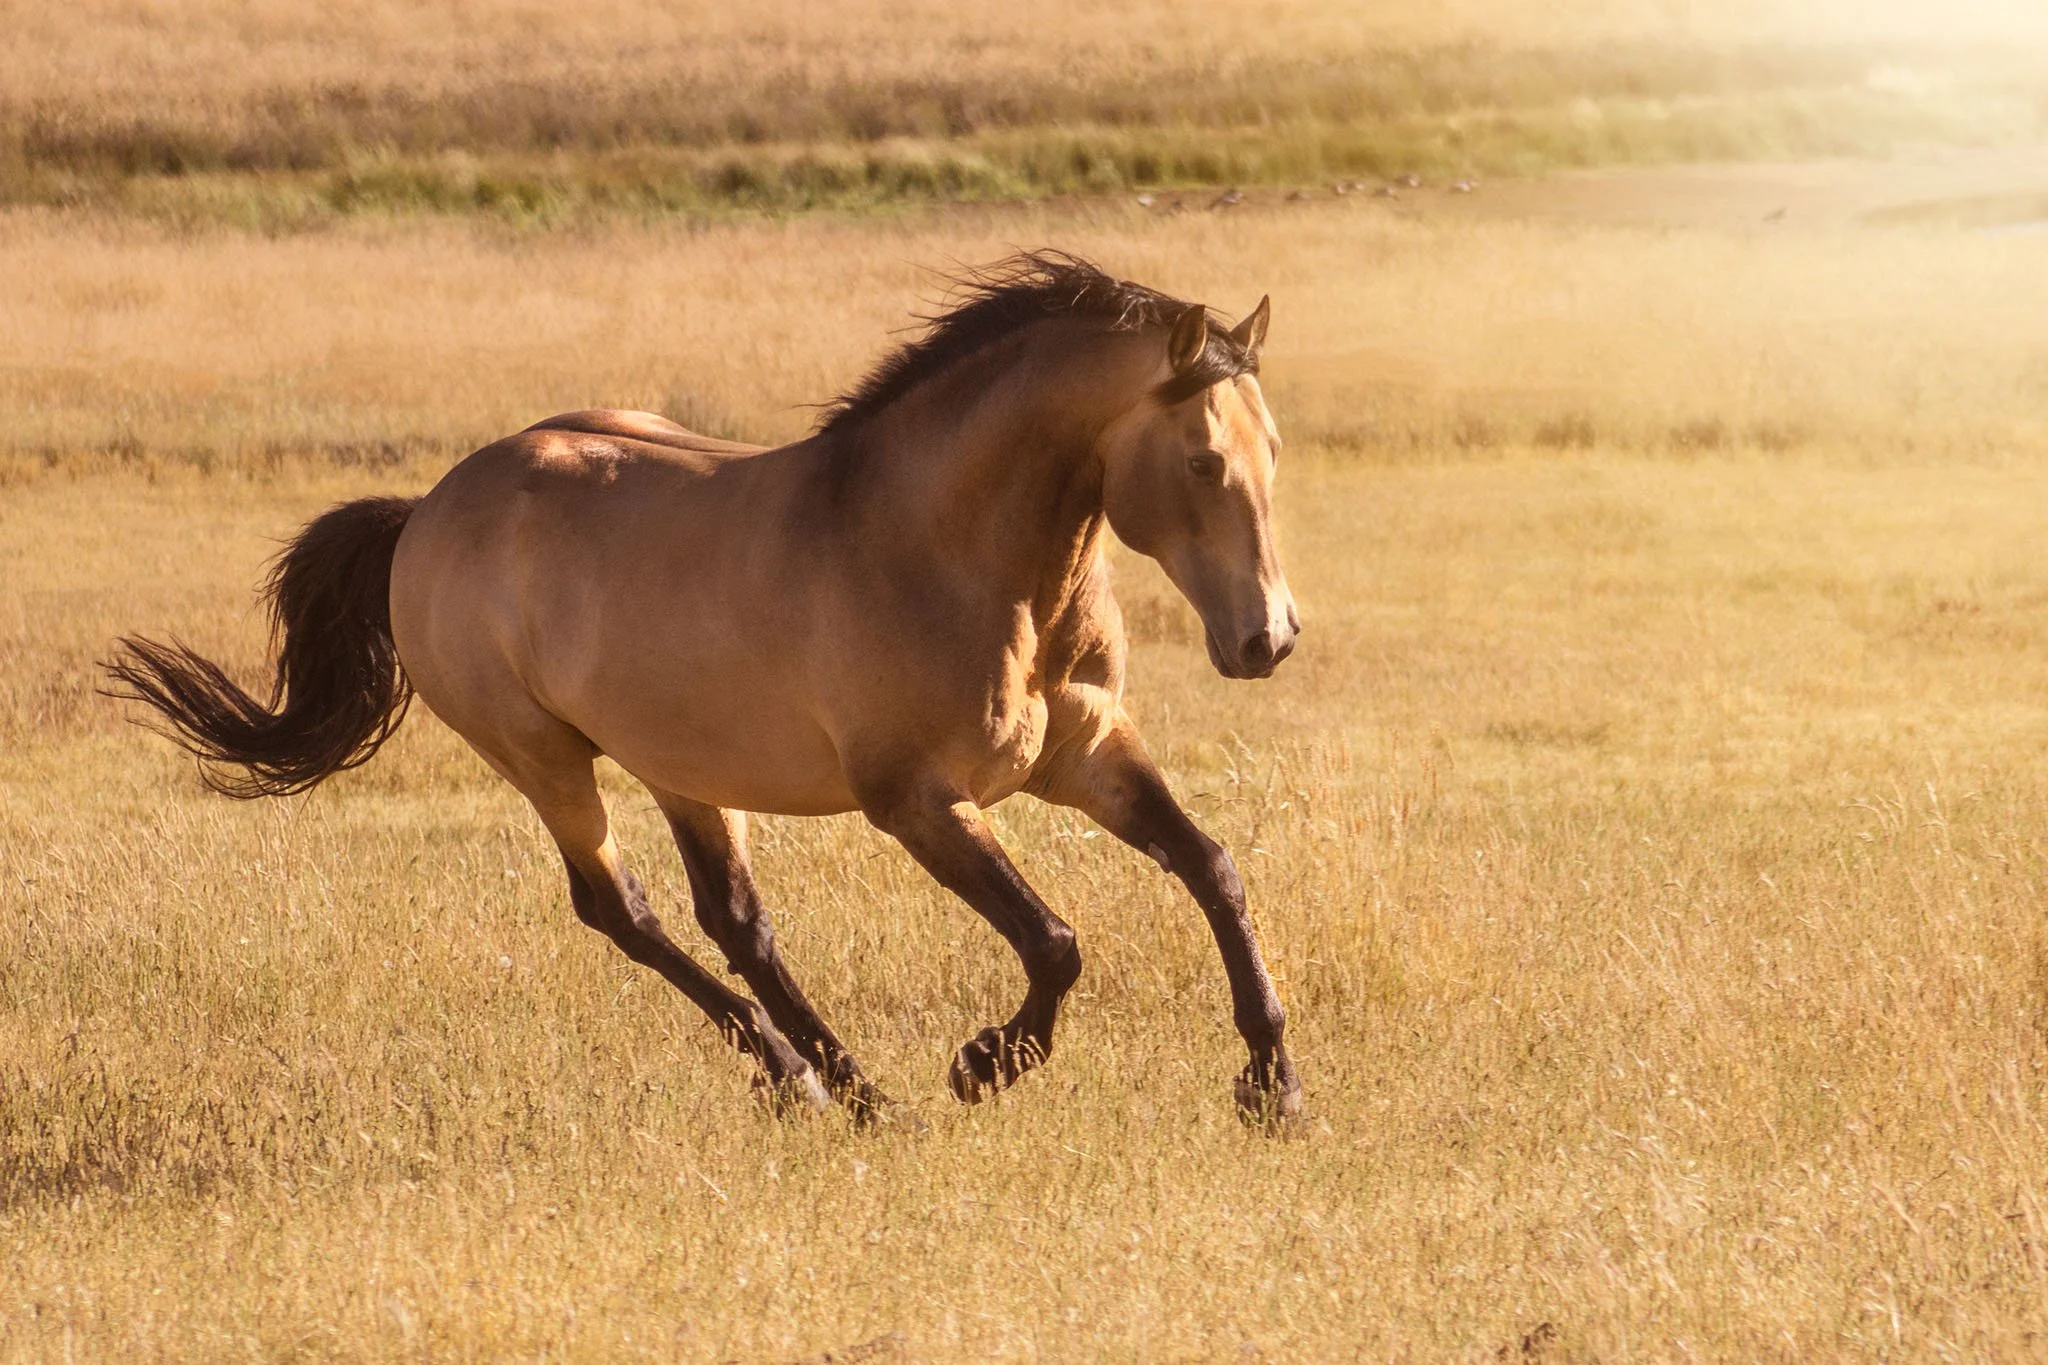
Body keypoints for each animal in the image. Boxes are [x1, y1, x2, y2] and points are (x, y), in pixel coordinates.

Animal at [107, 252, 1303, 1123]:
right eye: (1203, 461)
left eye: (1276, 450)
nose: (1268, 640)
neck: (945, 547)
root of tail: (427, 511)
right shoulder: (917, 800)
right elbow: (1055, 940)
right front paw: (984, 1062)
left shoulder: (1085, 755)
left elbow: (1214, 868)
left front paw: (1271, 1084)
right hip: (543, 757)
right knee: (619, 909)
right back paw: (827, 1084)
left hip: (680, 765)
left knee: (733, 920)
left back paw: (829, 1082)